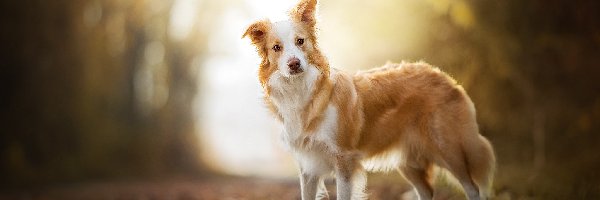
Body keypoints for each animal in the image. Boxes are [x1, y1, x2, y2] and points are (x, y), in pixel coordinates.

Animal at [241, 0, 494, 199]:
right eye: (277, 48)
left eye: (300, 41)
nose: (294, 64)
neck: (301, 91)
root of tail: (443, 75)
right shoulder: (308, 166)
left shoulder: (344, 160)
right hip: (409, 162)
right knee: (427, 191)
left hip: (448, 148)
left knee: (472, 188)